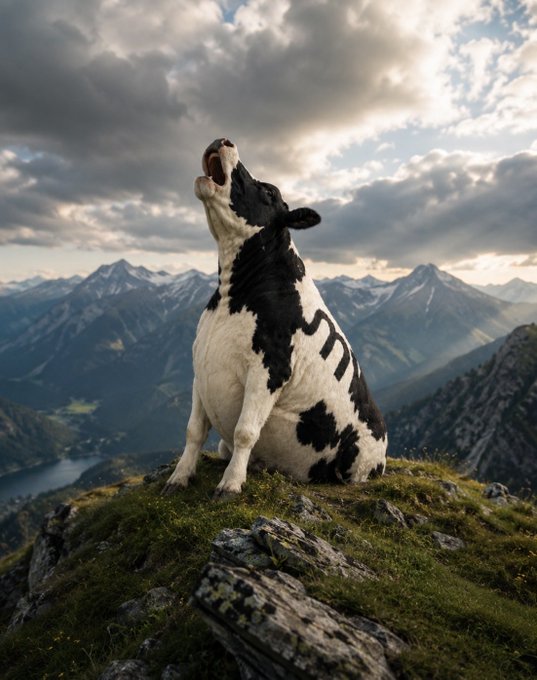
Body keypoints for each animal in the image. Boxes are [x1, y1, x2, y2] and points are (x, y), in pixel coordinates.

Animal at [162, 138, 387, 498]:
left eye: (268, 192)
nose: (224, 140)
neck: (231, 296)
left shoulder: (271, 366)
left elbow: (245, 431)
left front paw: (230, 484)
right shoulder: (200, 366)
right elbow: (194, 430)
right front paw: (179, 477)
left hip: (357, 461)